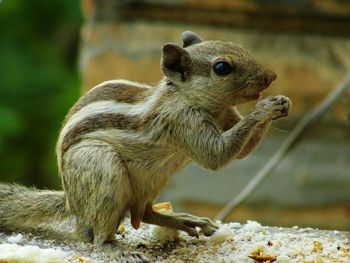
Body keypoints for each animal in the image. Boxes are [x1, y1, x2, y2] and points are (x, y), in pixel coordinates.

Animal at [0, 31, 290, 248]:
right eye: (222, 68)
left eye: (241, 47)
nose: (272, 76)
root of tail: (72, 203)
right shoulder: (181, 120)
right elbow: (215, 156)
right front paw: (264, 108)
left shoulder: (227, 115)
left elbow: (242, 152)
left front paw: (282, 102)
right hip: (102, 167)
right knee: (97, 235)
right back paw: (113, 247)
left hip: (151, 182)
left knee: (145, 213)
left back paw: (186, 221)